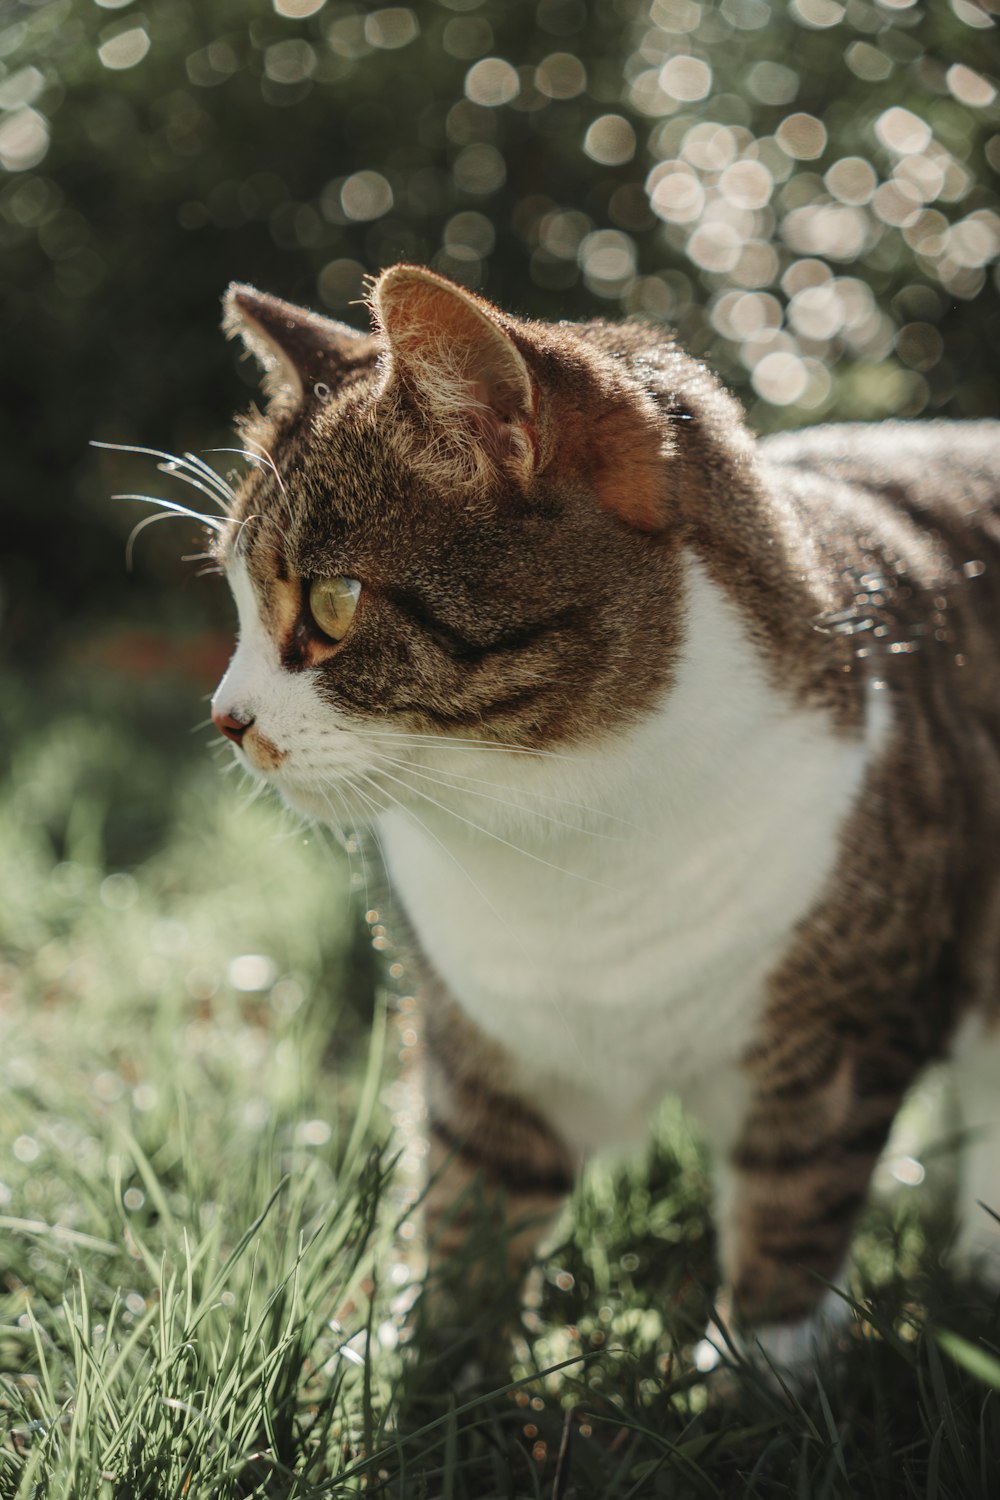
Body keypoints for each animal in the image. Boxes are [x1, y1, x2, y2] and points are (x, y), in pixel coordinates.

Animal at [206, 267, 1000, 1374]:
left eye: (331, 602)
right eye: (237, 597)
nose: (227, 720)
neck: (559, 836)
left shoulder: (842, 1044)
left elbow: (793, 1204)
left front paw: (763, 1375)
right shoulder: (482, 1045)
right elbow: (470, 1210)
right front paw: (432, 1364)